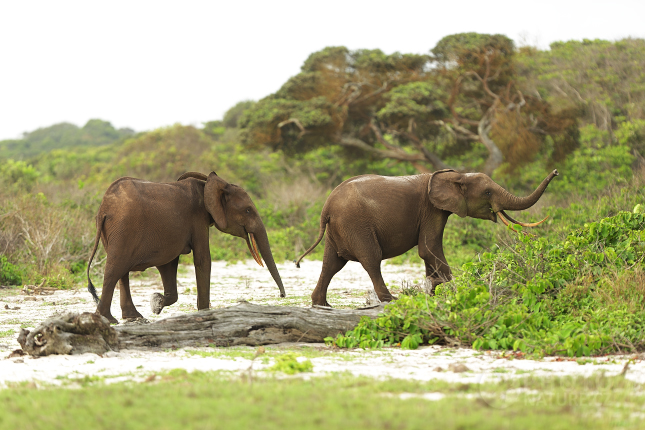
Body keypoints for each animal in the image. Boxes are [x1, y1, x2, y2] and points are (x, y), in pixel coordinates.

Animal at [87, 171, 284, 322]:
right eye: (248, 210)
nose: (282, 296)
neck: (208, 185)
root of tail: (104, 208)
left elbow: (168, 264)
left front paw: (156, 303)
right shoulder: (198, 219)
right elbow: (203, 260)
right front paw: (204, 311)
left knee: (122, 272)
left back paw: (133, 317)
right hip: (124, 227)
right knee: (114, 270)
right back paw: (106, 319)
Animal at [294, 167, 556, 306]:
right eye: (488, 193)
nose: (555, 171)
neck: (457, 176)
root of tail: (326, 208)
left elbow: (429, 251)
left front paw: (434, 289)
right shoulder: (431, 209)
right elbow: (429, 248)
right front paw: (449, 290)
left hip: (338, 229)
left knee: (331, 263)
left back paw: (321, 304)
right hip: (356, 224)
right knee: (371, 259)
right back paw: (391, 300)